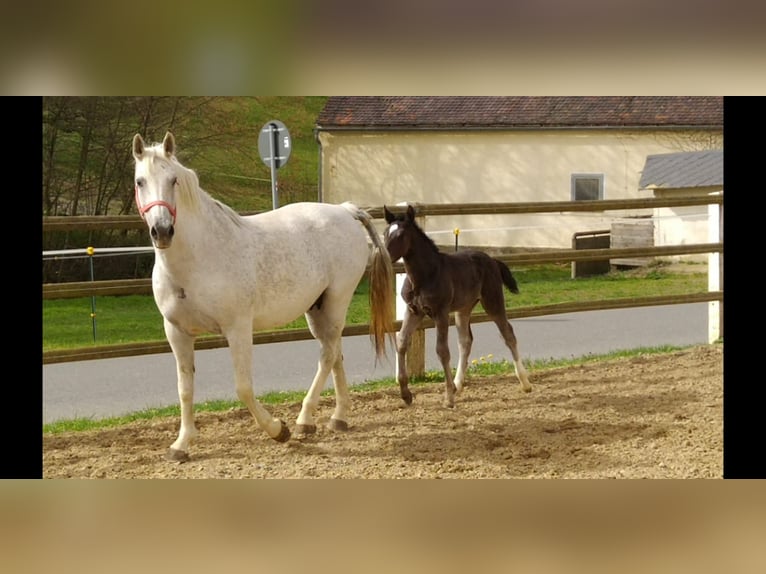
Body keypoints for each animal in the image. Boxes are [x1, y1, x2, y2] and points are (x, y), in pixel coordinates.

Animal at [134, 132, 396, 464]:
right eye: (140, 181)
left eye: (174, 180)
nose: (162, 231)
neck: (200, 257)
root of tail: (345, 210)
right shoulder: (177, 332)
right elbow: (185, 389)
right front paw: (180, 445)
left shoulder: (237, 329)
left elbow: (243, 388)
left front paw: (277, 430)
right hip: (317, 309)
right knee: (335, 353)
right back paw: (338, 418)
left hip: (337, 301)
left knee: (327, 355)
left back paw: (303, 421)